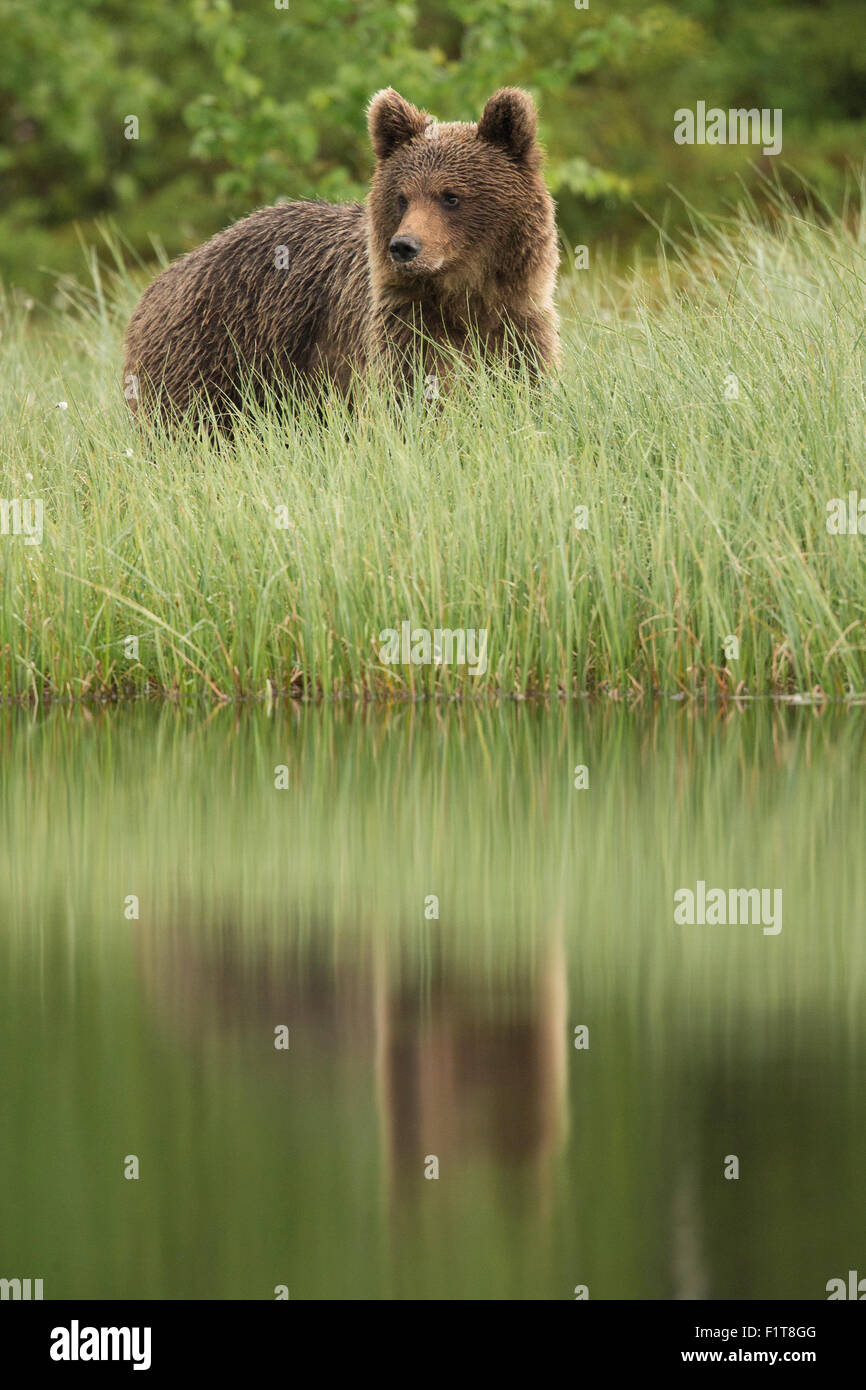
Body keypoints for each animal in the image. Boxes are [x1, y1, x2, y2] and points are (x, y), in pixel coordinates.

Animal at [123, 87, 560, 425]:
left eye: (451, 196)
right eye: (402, 197)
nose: (404, 247)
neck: (462, 294)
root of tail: (160, 283)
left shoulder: (516, 321)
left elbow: (527, 386)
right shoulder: (402, 325)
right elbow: (414, 392)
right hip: (211, 352)